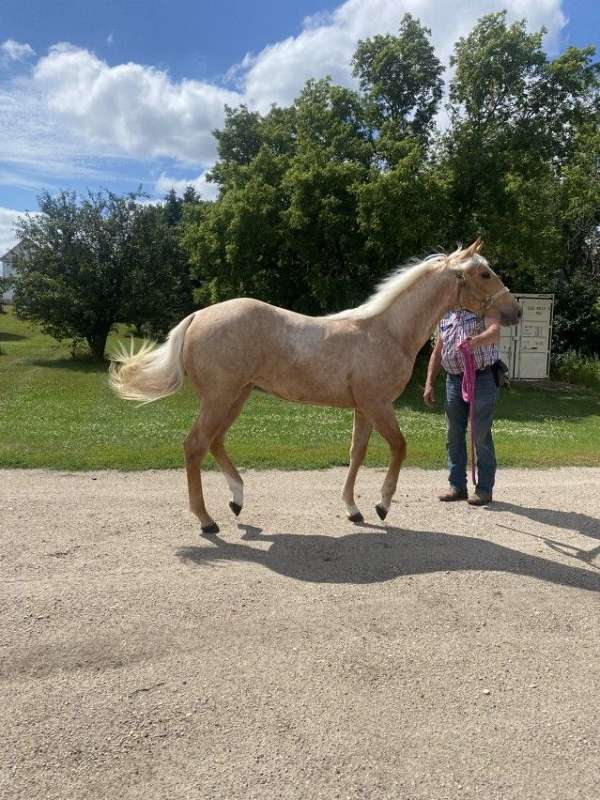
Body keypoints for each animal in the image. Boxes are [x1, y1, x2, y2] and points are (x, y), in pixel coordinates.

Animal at [110, 239, 522, 533]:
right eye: (485, 274)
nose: (515, 311)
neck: (387, 331)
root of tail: (197, 316)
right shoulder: (378, 404)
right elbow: (399, 448)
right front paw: (382, 505)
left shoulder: (364, 408)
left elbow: (357, 453)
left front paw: (354, 510)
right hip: (220, 397)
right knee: (195, 445)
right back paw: (207, 520)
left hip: (237, 396)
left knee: (214, 442)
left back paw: (237, 500)